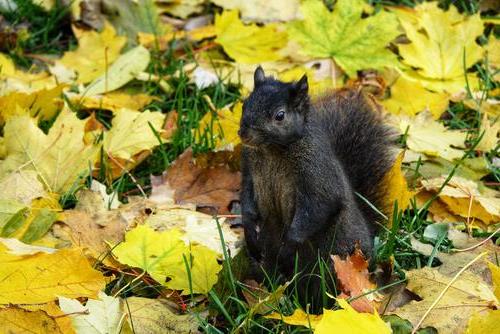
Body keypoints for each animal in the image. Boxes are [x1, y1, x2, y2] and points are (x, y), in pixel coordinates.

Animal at [240, 67, 396, 308]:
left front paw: (287, 248)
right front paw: (249, 230)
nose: (244, 134)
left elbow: (315, 210)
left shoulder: (317, 174)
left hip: (334, 263)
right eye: (245, 104)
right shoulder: (249, 171)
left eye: (280, 115)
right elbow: (247, 202)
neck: (272, 150)